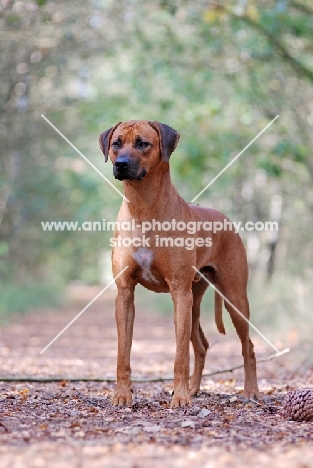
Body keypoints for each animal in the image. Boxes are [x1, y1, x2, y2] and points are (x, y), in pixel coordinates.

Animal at [98, 119, 258, 406]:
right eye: (116, 143)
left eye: (142, 143)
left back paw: (250, 391)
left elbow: (180, 355)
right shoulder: (125, 292)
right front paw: (122, 395)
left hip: (233, 296)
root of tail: (225, 218)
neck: (143, 208)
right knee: (202, 344)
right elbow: (122, 353)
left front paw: (180, 398)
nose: (122, 164)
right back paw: (194, 389)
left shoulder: (179, 292)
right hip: (195, 300)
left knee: (247, 346)